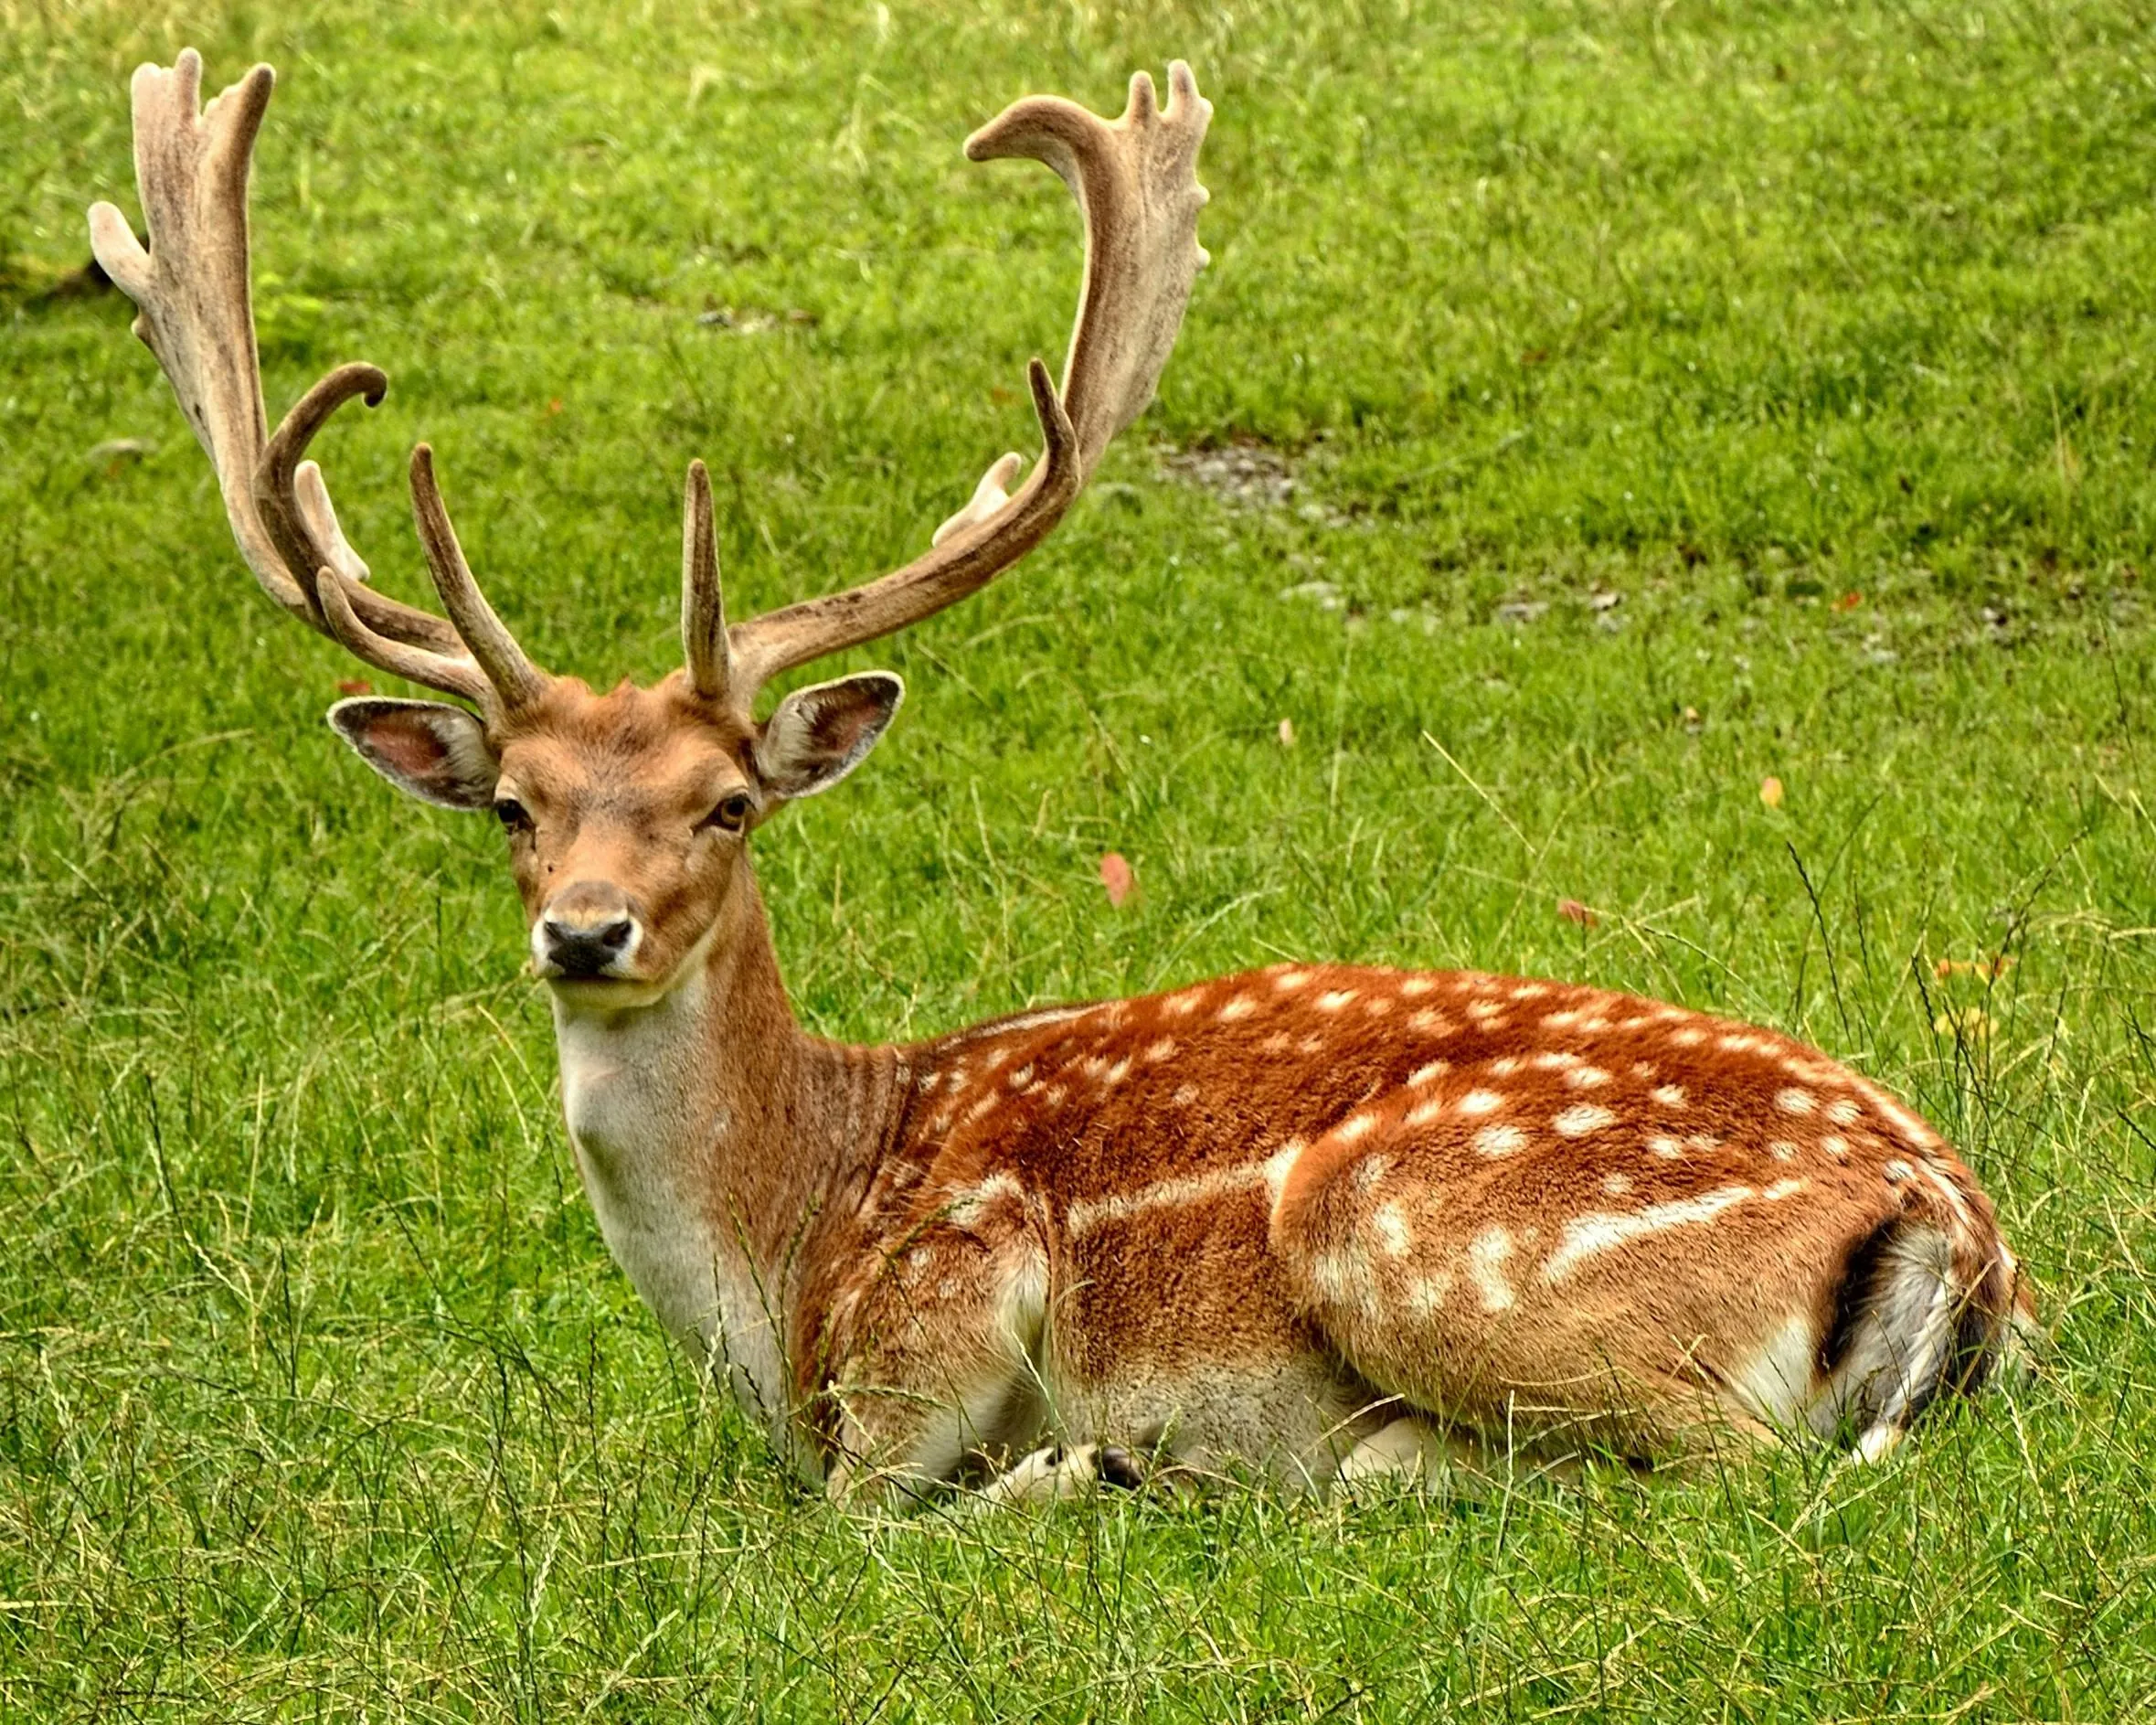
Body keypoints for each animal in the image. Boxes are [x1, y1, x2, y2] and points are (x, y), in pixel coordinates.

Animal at [90, 49, 2032, 1508]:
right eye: (516, 805)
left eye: (728, 802)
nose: (584, 930)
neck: (784, 1257)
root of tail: (1951, 1224)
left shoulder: (939, 1302)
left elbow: (862, 1509)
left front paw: (1071, 1467)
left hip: (1406, 1229)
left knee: (1720, 1466)